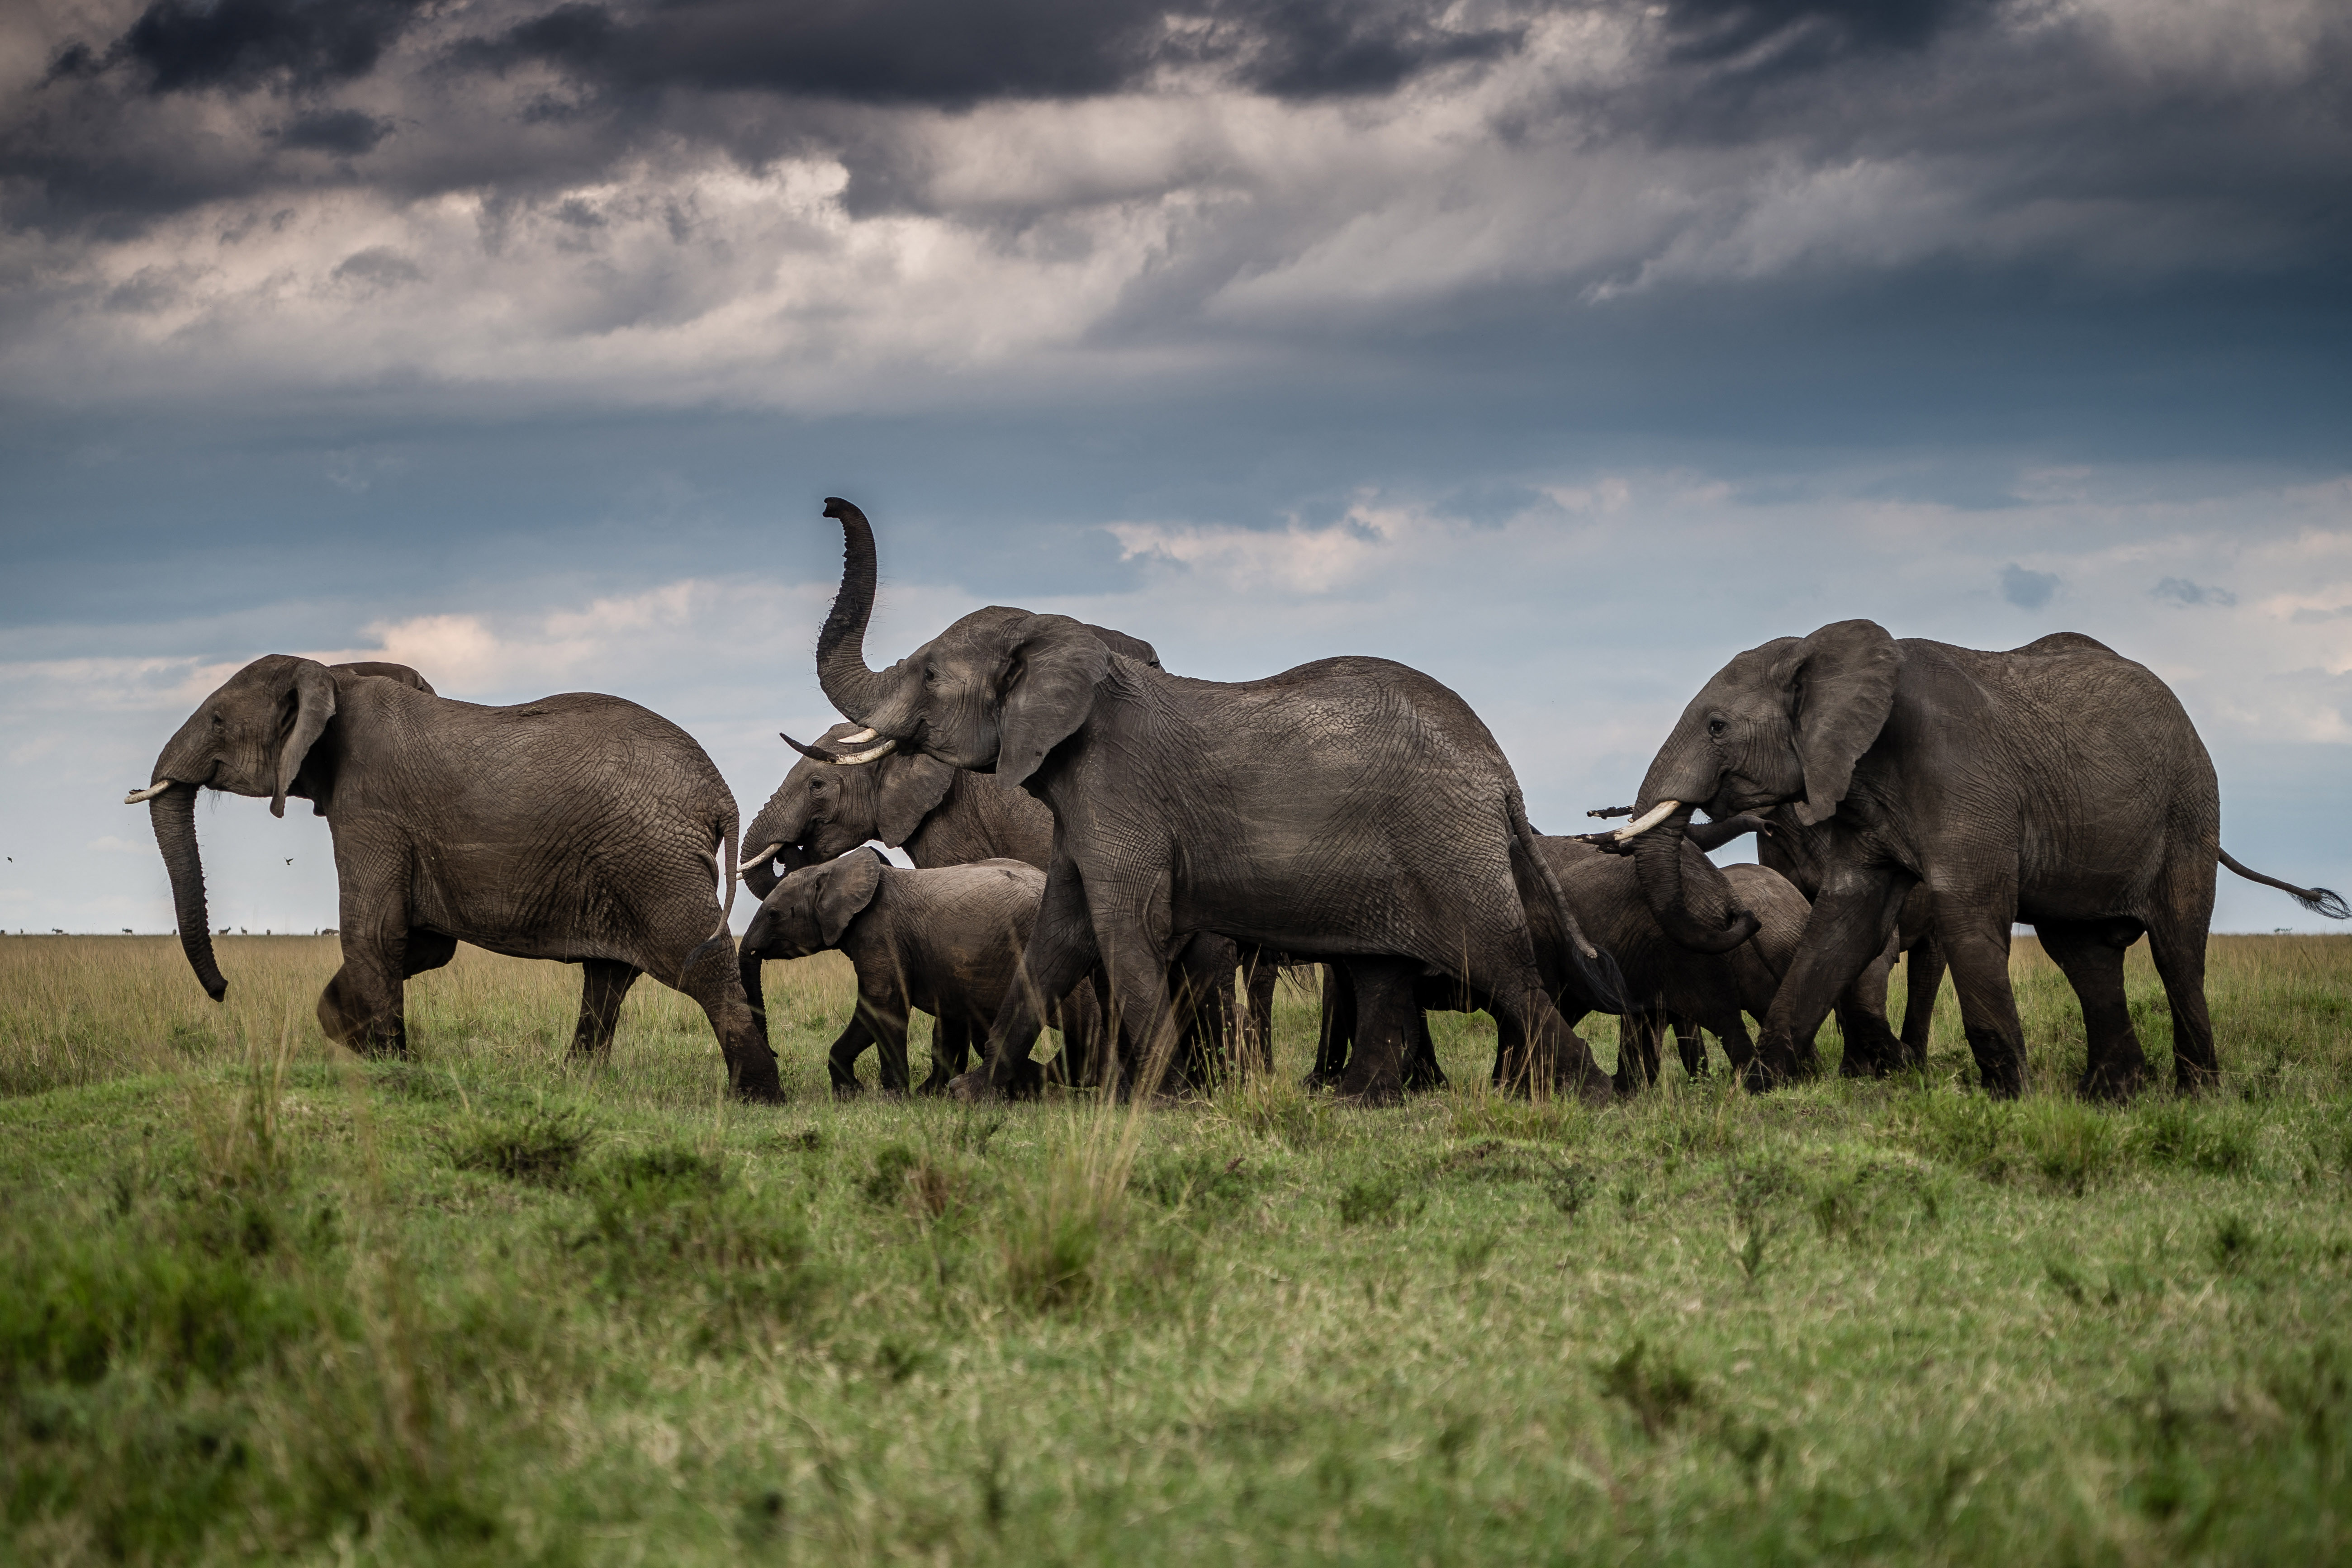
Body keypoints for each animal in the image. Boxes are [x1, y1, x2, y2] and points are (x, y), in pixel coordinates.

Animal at [128, 658, 781, 1100]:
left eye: (217, 719)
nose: (223, 990)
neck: (334, 673)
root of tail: (720, 794)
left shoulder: (370, 806)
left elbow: (374, 932)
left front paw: (383, 1065)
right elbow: (423, 943)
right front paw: (343, 1025)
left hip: (654, 861)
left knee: (699, 963)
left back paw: (755, 1097)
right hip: (629, 861)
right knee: (609, 975)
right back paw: (575, 1083)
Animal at [738, 851, 1096, 1100]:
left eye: (774, 915)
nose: (774, 1052)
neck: (834, 869)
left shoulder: (880, 932)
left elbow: (883, 1006)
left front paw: (893, 1098)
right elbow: (872, 1013)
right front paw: (850, 1094)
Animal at [799, 501, 1627, 1105]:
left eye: (931, 676)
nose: (829, 505)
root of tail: (1501, 773)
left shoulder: (1118, 791)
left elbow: (1124, 926)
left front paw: (1159, 1098)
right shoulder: (1082, 807)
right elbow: (1057, 937)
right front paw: (972, 1095)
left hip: (1444, 843)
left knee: (1500, 966)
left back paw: (1592, 1094)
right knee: (1384, 969)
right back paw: (1356, 1100)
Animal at [1608, 621, 2343, 1100]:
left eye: (1716, 727)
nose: (1742, 918)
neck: (1824, 652)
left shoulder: (1962, 779)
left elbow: (1966, 915)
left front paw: (2009, 1099)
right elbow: (1844, 921)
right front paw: (1762, 1089)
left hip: (2187, 810)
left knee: (2177, 952)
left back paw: (2196, 1097)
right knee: (2085, 957)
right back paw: (2113, 1095)